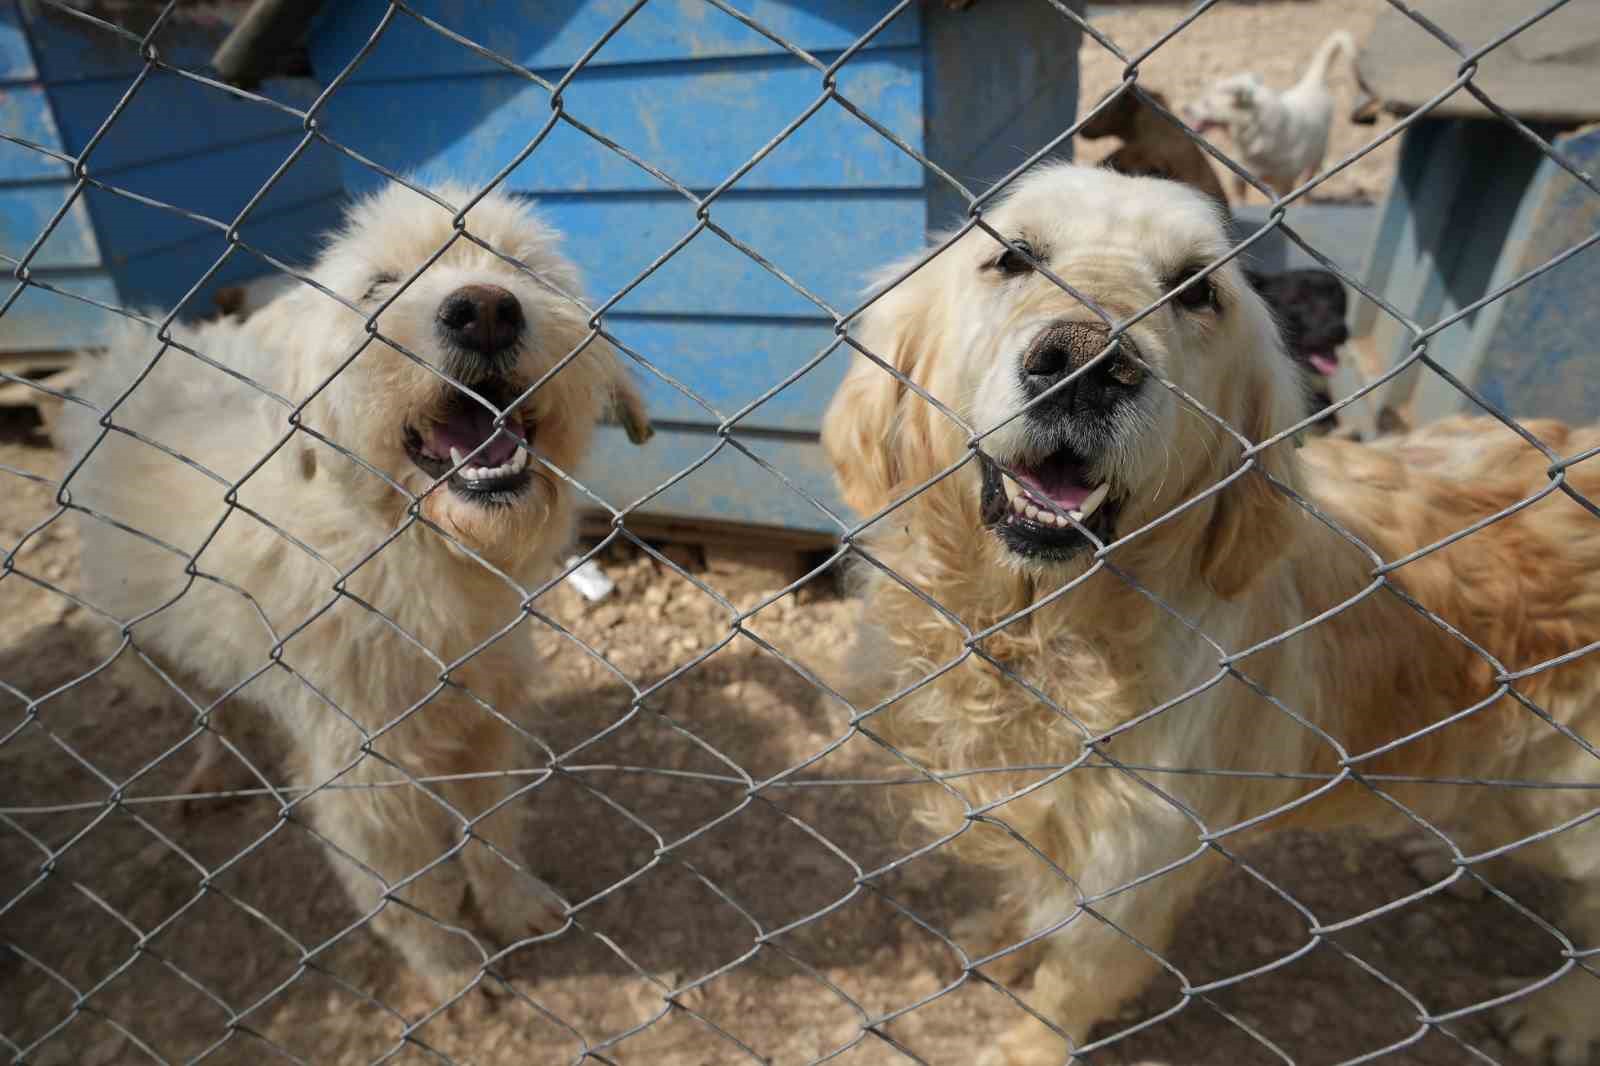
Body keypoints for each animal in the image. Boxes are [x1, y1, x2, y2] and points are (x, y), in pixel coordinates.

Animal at [60, 184, 649, 998]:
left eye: (524, 268)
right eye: (377, 287)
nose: (485, 309)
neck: (414, 554)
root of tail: (134, 347)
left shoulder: (484, 725)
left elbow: (493, 829)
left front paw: (513, 904)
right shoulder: (364, 778)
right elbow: (407, 891)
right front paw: (450, 969)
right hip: (139, 644)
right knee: (204, 709)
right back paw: (214, 768)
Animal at [825, 160, 1600, 1062]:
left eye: (1196, 290)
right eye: (1012, 256)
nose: (1085, 365)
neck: (1041, 639)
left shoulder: (1130, 881)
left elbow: (1064, 989)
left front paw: (1026, 1045)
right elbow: (1025, 900)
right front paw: (1000, 937)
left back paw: (1558, 1016)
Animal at [1190, 29, 1350, 196]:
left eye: (1207, 103)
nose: (1186, 109)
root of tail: (1312, 85)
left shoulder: (1285, 183)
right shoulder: (1238, 179)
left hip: (1317, 156)